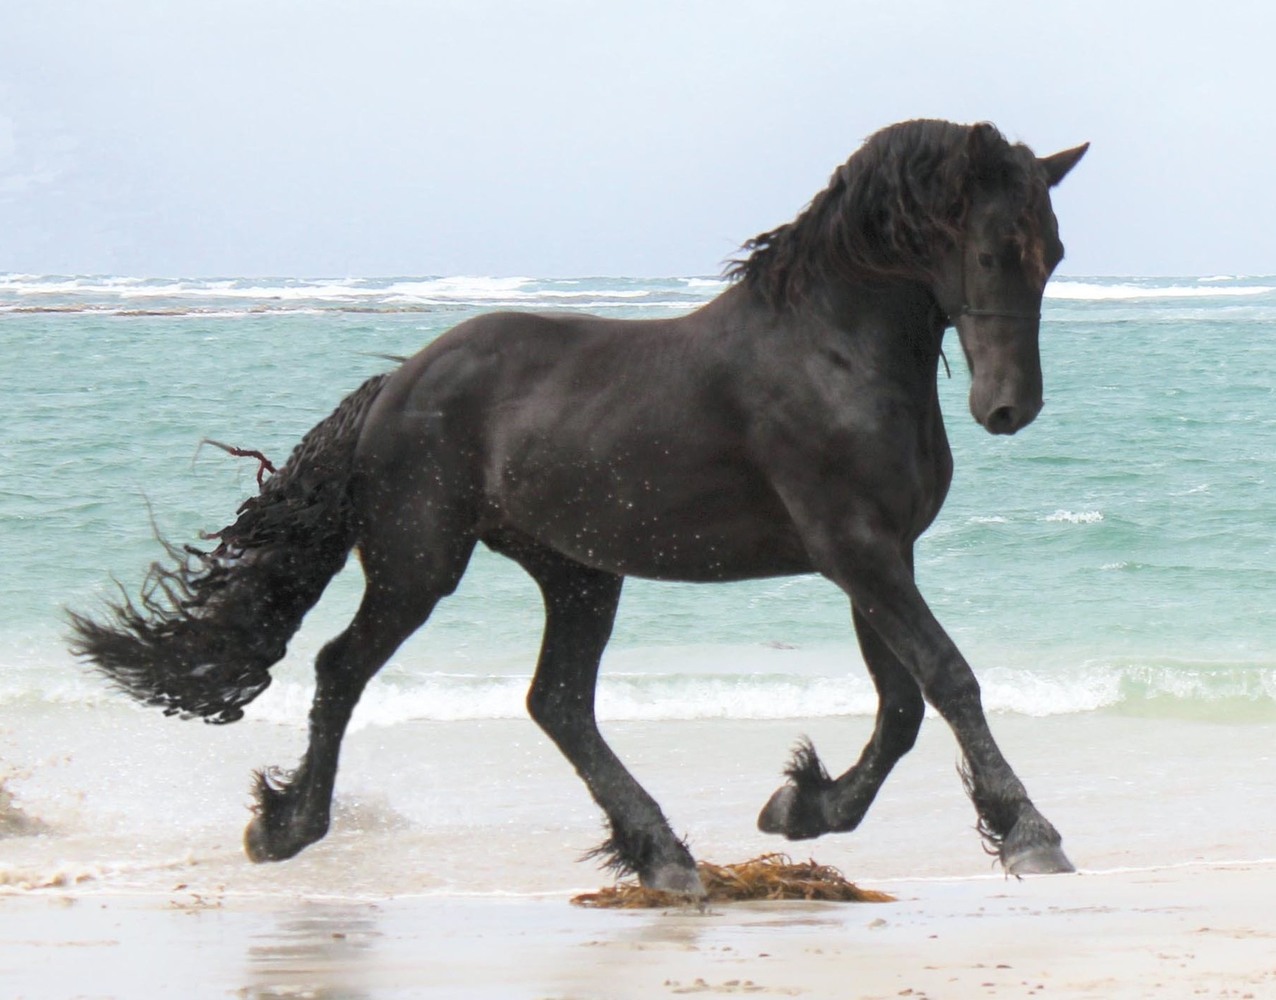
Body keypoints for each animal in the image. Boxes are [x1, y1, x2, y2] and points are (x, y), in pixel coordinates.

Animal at [69, 119, 1088, 896]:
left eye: (1056, 255)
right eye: (990, 251)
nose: (1010, 409)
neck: (833, 353)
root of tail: (396, 386)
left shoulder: (879, 556)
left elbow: (904, 704)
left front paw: (804, 807)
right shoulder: (856, 549)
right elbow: (947, 680)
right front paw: (1031, 834)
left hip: (579, 571)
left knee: (557, 702)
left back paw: (663, 855)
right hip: (418, 565)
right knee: (341, 667)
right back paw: (287, 826)